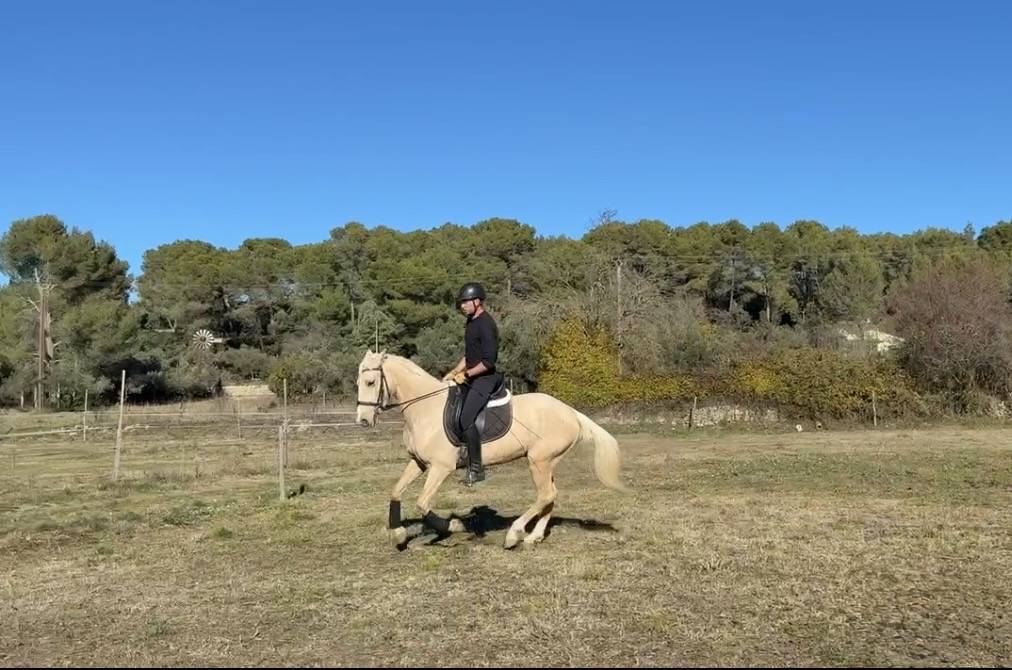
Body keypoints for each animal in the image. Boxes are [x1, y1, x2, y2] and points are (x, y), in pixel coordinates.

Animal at [355, 350, 626, 549]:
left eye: (370, 382)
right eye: (358, 382)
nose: (363, 421)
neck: (425, 408)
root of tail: (571, 412)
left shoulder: (441, 467)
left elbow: (422, 504)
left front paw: (454, 527)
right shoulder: (419, 463)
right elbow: (395, 492)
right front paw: (399, 534)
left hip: (539, 461)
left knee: (545, 495)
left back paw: (514, 534)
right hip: (548, 462)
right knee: (551, 495)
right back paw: (533, 536)